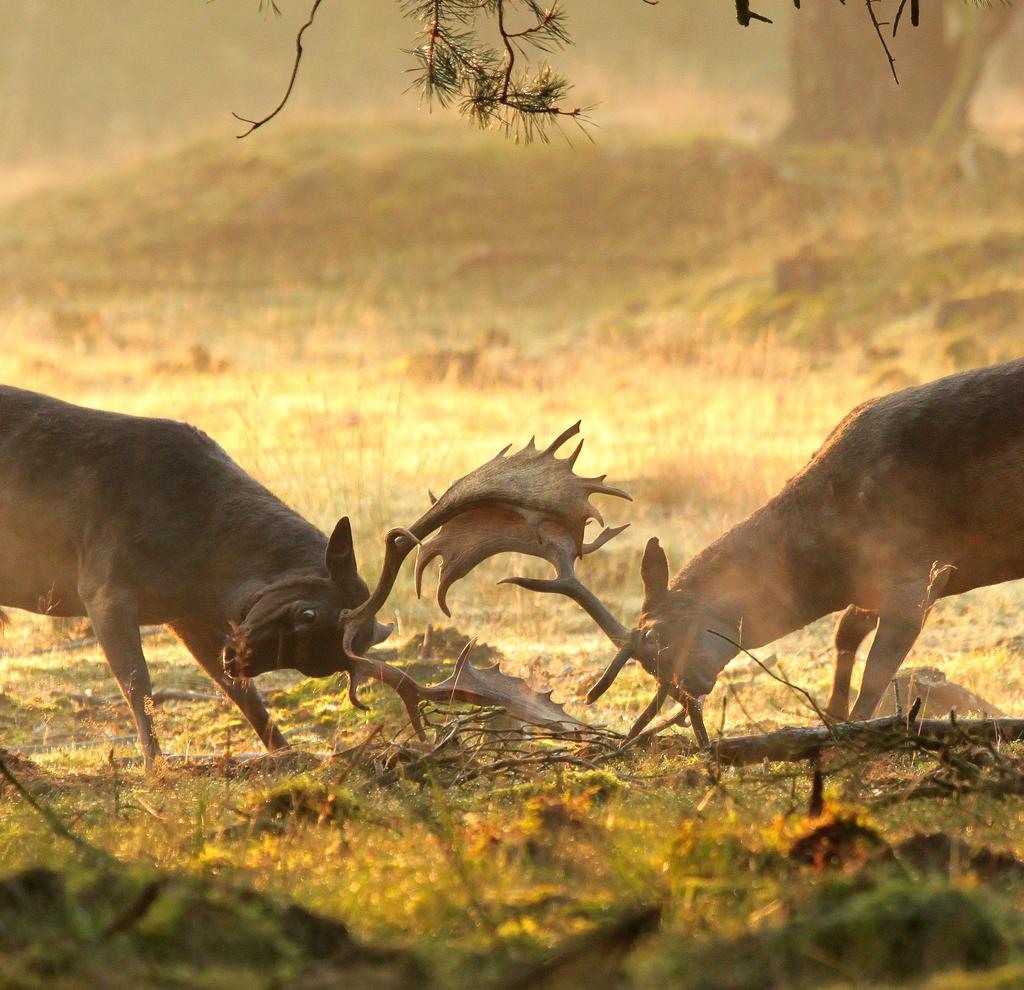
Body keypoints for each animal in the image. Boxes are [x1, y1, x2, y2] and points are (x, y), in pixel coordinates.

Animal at [0, 380, 395, 765]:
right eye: (308, 613)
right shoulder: (103, 583)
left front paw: (288, 752)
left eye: (324, 665)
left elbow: (239, 691)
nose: (238, 657)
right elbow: (136, 683)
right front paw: (156, 766)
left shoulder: (183, 613)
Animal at [413, 368, 1024, 745]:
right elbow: (844, 638)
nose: (690, 688)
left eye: (657, 637)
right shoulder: (871, 588)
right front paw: (829, 717)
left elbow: (877, 677)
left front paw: (856, 731)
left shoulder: (913, 574)